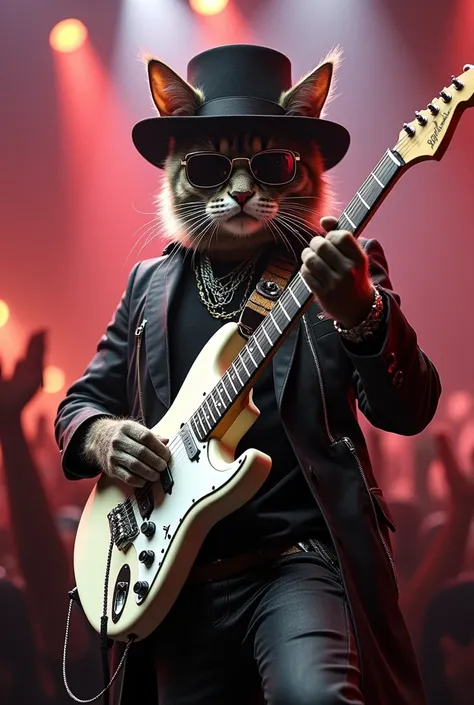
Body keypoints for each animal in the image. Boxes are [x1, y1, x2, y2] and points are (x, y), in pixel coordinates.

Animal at [55, 44, 440, 704]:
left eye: (275, 164)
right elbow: (83, 398)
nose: (238, 195)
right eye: (206, 167)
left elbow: (409, 403)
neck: (233, 261)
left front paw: (348, 291)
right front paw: (129, 450)